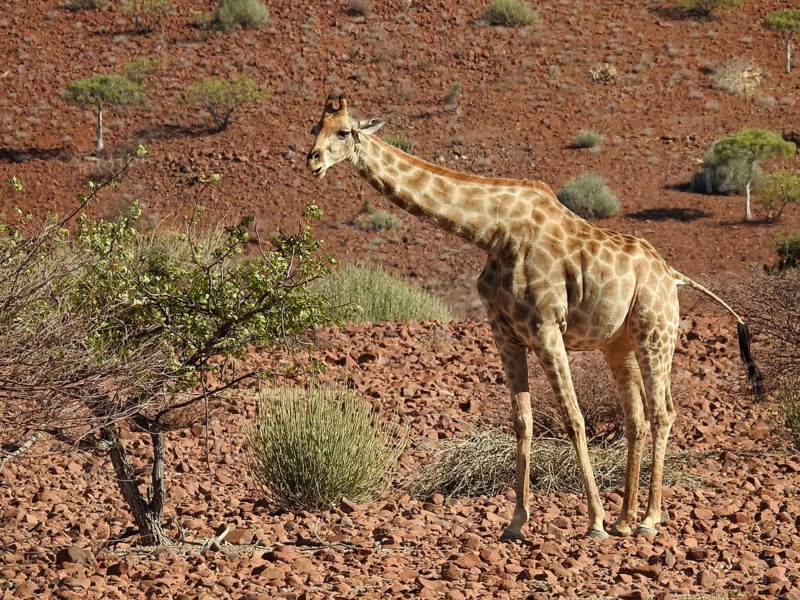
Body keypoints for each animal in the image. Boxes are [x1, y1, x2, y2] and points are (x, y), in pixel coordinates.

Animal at [306, 94, 764, 541]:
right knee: (635, 417)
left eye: (344, 131)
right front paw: (515, 523)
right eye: (315, 127)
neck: (491, 232)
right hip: (618, 342)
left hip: (657, 330)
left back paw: (648, 520)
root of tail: (673, 274)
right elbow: (522, 422)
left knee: (663, 412)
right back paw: (626, 519)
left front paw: (594, 522)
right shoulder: (504, 333)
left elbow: (573, 418)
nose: (312, 161)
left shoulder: (546, 327)